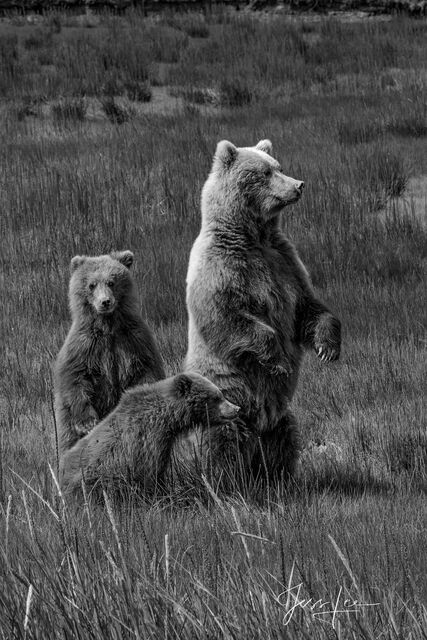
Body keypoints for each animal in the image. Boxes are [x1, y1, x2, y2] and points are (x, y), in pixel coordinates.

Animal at [54, 250, 165, 456]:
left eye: (111, 282)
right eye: (92, 284)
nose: (105, 302)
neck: (109, 327)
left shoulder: (134, 341)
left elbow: (146, 371)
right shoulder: (85, 346)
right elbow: (76, 377)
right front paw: (87, 423)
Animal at [59, 370, 241, 496]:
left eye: (220, 393)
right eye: (216, 397)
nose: (236, 409)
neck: (168, 419)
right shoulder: (146, 441)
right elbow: (150, 475)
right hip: (98, 478)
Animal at [186, 139, 342, 480]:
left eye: (279, 166)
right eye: (265, 173)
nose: (299, 184)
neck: (253, 235)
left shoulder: (284, 261)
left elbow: (307, 307)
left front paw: (328, 347)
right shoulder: (220, 267)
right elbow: (226, 317)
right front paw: (279, 361)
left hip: (279, 418)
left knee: (283, 437)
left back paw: (280, 478)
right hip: (226, 398)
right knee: (221, 442)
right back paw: (225, 481)